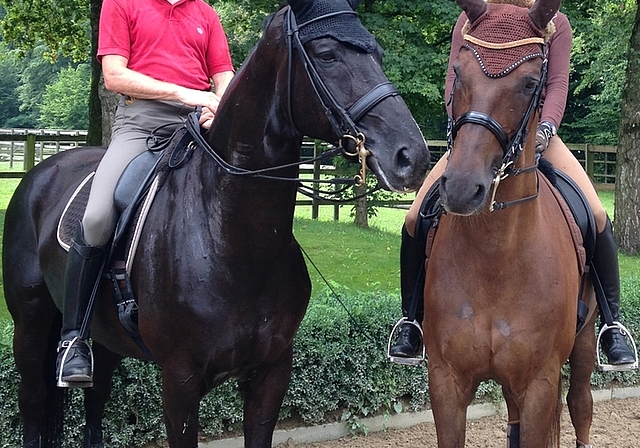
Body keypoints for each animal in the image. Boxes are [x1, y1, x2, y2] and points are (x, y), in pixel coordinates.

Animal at [1, 0, 430, 448]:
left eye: (378, 53)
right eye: (327, 54)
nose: (412, 156)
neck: (231, 237)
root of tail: (40, 172)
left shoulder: (271, 373)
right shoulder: (180, 380)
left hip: (105, 337)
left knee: (95, 399)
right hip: (30, 326)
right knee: (33, 402)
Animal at [428, 0, 596, 446]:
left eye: (529, 83)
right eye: (458, 73)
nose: (463, 187)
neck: (495, 254)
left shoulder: (540, 383)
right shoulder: (446, 382)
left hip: (586, 340)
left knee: (581, 405)